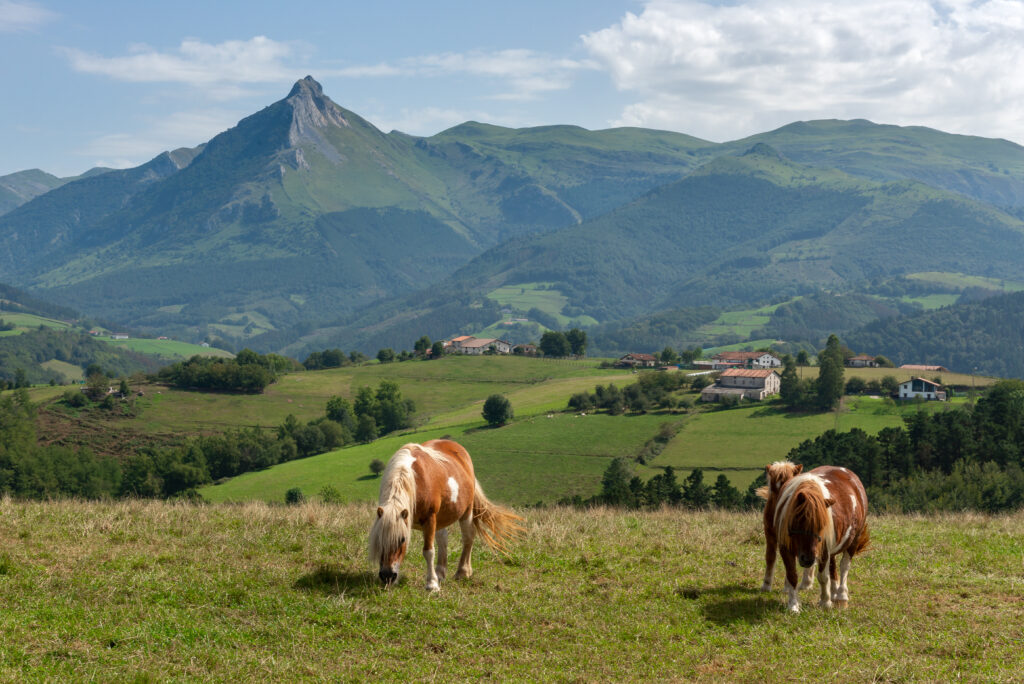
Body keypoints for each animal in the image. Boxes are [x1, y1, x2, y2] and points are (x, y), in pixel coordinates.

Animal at [368, 440, 524, 589]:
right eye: (378, 539)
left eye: (402, 539)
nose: (387, 576)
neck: (415, 479)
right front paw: (434, 578)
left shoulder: (430, 519)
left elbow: (429, 551)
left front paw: (431, 584)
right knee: (443, 539)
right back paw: (440, 573)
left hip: (466, 511)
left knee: (468, 537)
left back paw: (463, 572)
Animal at [770, 466, 868, 610]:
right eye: (799, 521)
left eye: (822, 526)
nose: (808, 559)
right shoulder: (785, 548)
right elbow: (792, 575)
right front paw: (793, 605)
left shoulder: (823, 550)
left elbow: (823, 577)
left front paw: (825, 602)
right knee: (833, 567)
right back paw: (834, 593)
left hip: (854, 540)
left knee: (844, 566)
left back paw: (841, 596)